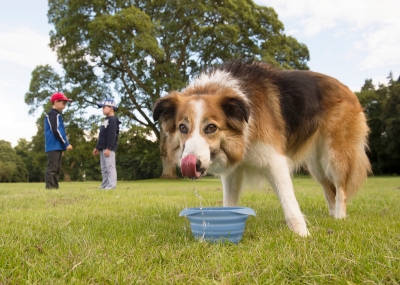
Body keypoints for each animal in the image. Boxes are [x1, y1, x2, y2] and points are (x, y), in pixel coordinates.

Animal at [153, 60, 372, 235]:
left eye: (211, 128)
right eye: (183, 127)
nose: (191, 164)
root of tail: (347, 88)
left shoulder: (275, 161)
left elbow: (289, 202)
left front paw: (303, 235)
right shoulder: (234, 171)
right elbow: (228, 203)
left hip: (334, 156)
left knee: (340, 189)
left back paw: (339, 218)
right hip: (316, 164)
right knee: (329, 189)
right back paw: (331, 216)